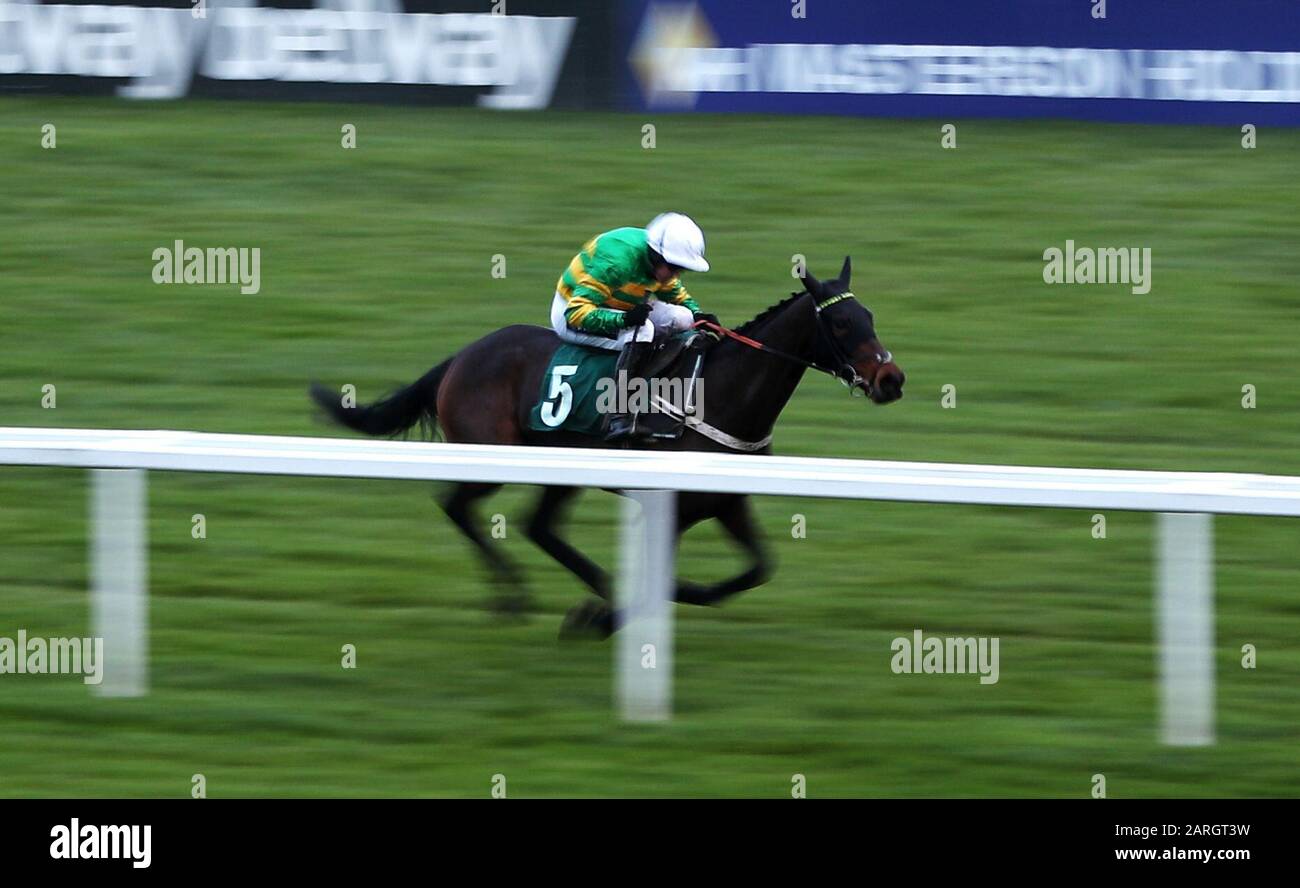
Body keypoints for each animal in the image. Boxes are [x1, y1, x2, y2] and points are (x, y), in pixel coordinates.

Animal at [312, 257, 904, 639]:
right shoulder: (673, 505)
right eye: (841, 322)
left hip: (562, 466)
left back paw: (592, 589)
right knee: (459, 507)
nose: (891, 380)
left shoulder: (727, 500)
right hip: (491, 455)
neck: (721, 391)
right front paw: (608, 616)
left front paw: (611, 609)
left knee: (539, 526)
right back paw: (518, 595)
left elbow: (756, 570)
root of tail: (461, 356)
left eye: (871, 317)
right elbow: (670, 575)